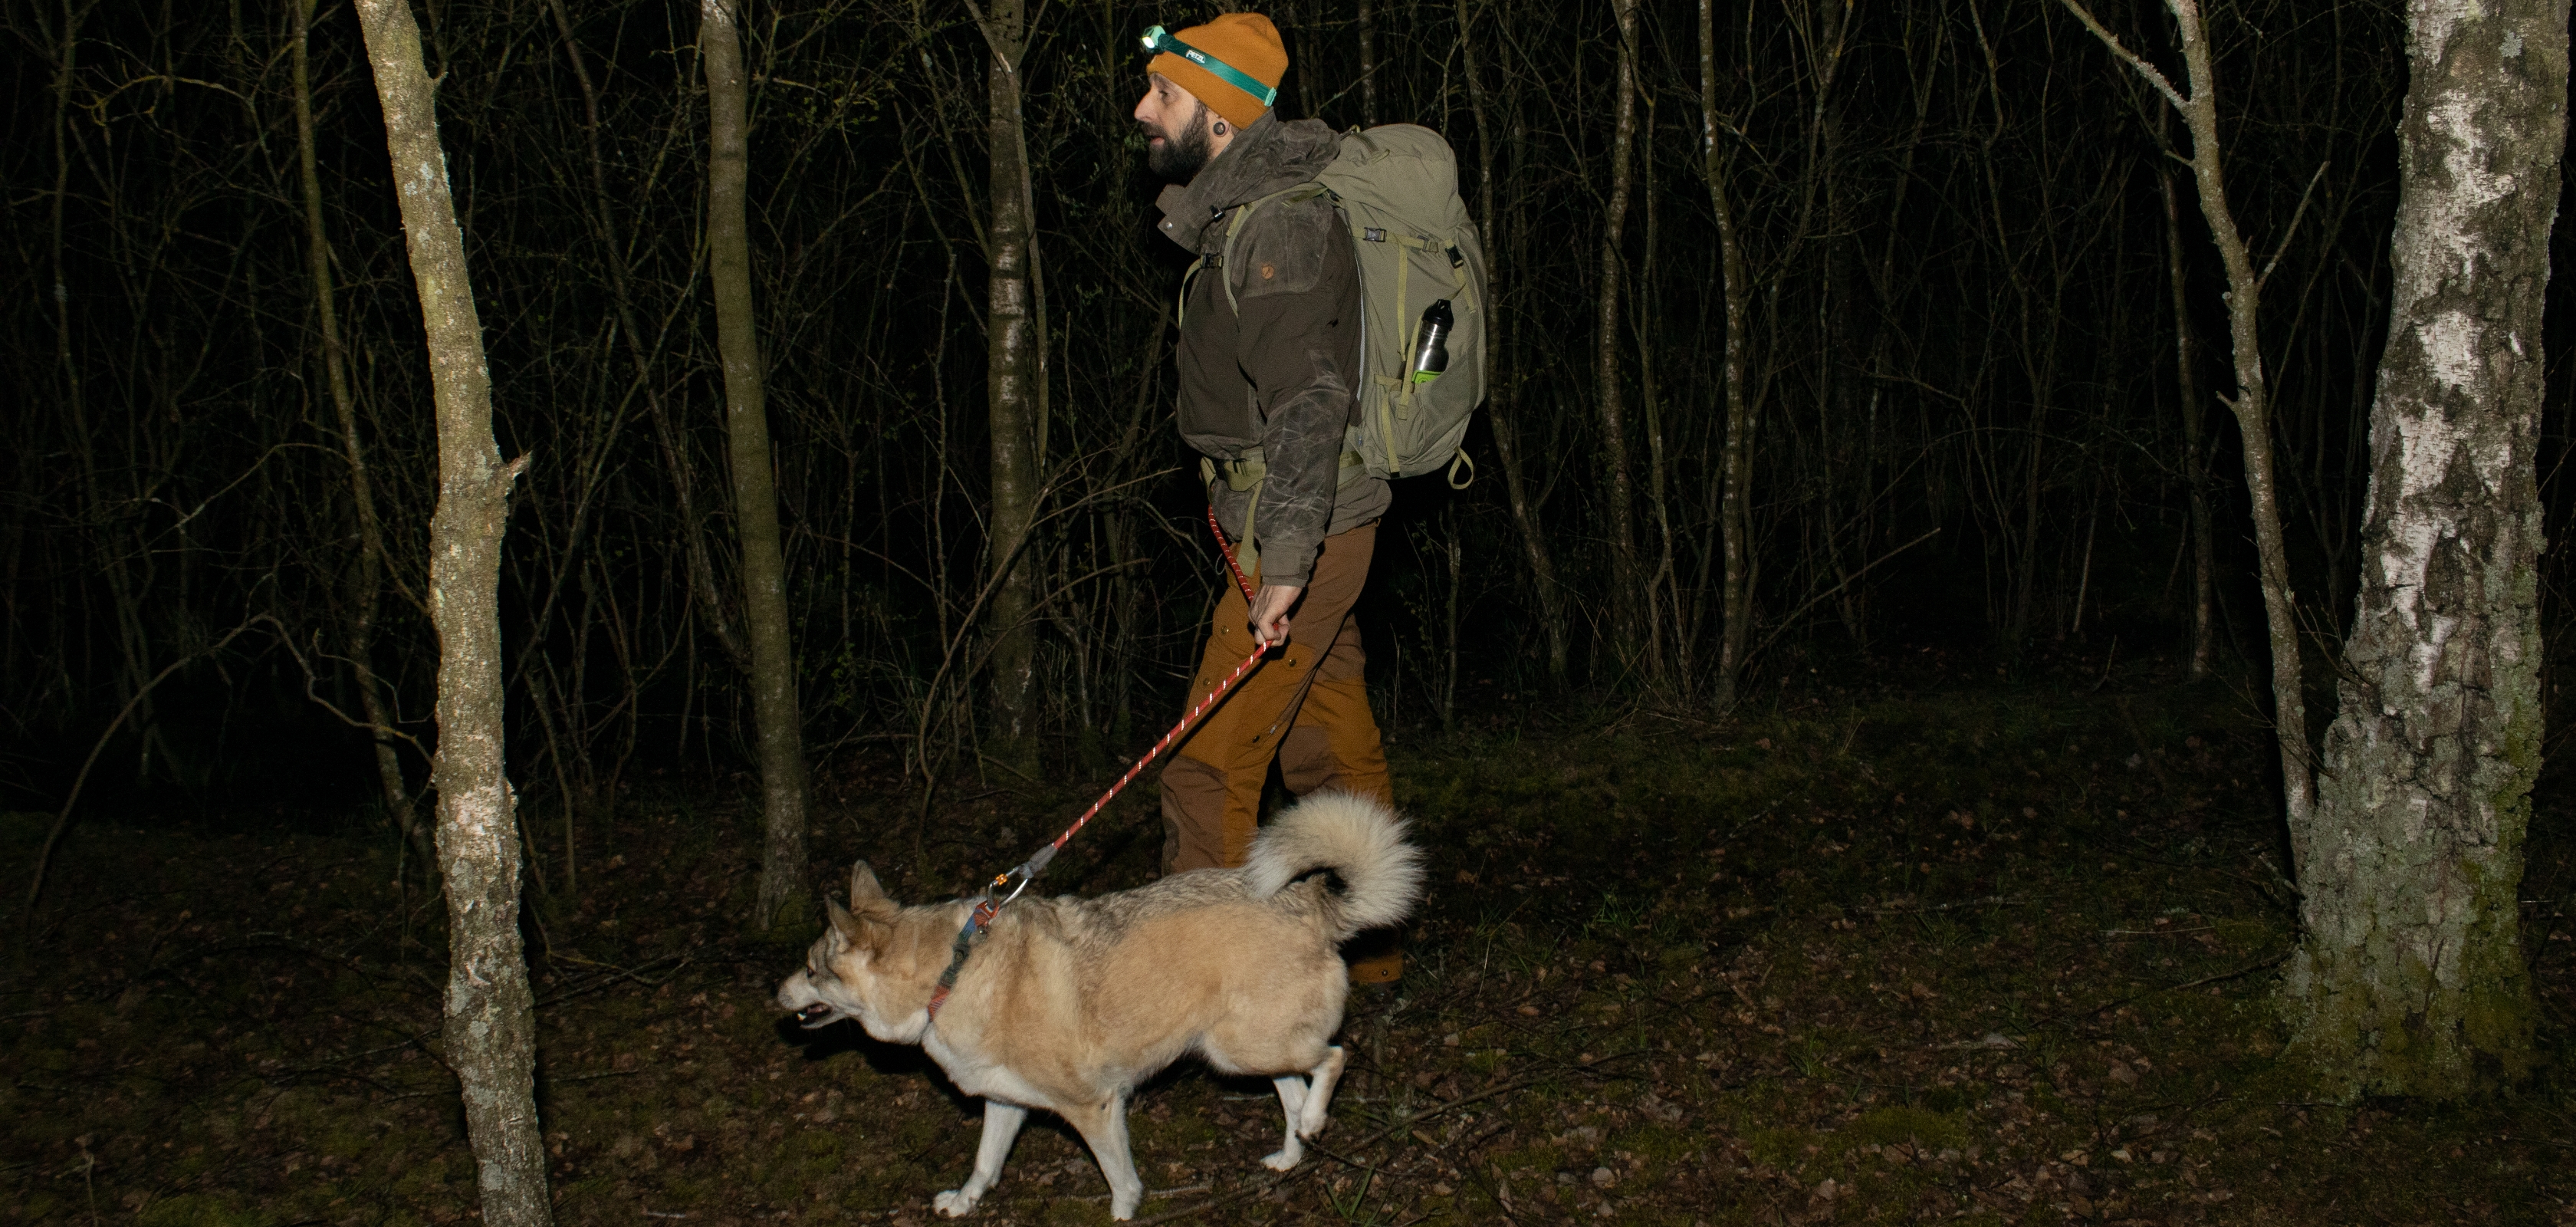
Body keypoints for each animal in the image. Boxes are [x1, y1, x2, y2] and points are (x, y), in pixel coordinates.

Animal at [783, 788, 1432, 1222]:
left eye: (812, 968)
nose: (777, 993)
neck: (953, 971)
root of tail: (1313, 906)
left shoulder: (1094, 1107)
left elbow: (1120, 1179)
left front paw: (1122, 1214)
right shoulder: (1004, 1102)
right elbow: (985, 1165)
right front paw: (965, 1202)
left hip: (1246, 1046)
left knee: (1333, 1058)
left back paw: (1318, 1120)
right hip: (1239, 1052)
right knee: (1295, 1093)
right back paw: (1291, 1152)